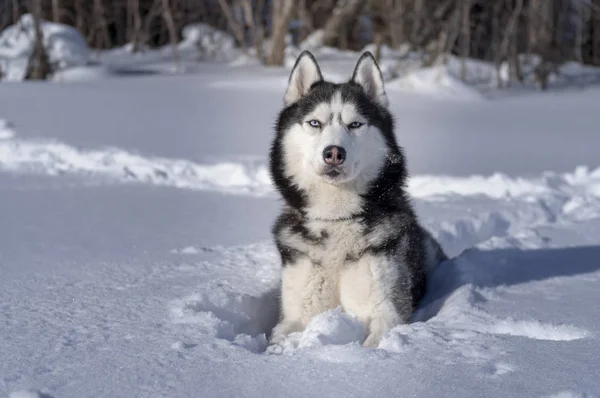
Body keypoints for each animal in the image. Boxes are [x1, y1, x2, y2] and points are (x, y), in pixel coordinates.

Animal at [268, 50, 446, 348]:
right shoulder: (294, 316)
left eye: (355, 124)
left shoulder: (388, 312)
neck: (336, 218)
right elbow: (279, 340)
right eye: (315, 123)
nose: (334, 153)